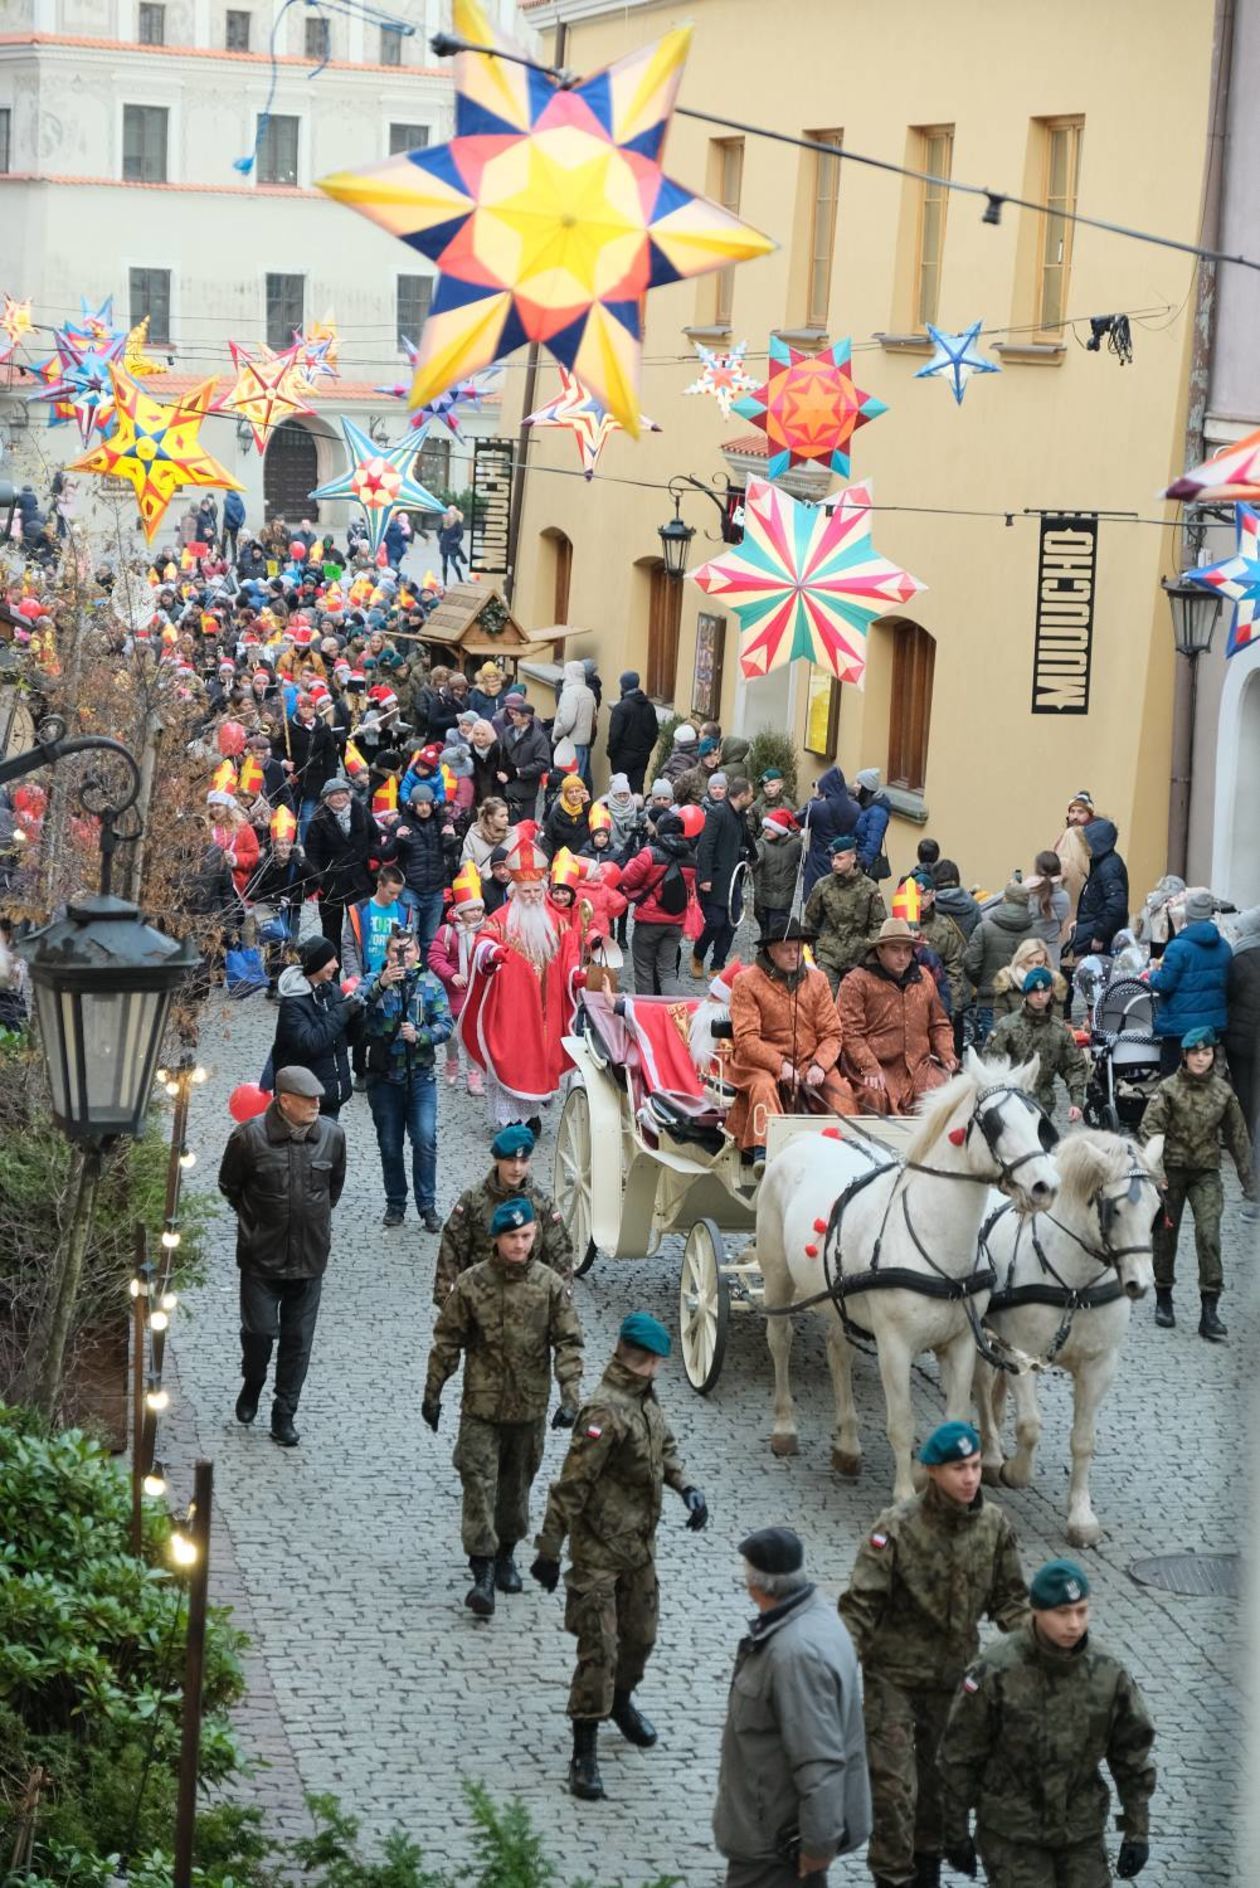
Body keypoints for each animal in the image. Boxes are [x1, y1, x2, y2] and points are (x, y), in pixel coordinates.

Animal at [759, 1049, 1065, 1502]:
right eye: (994, 1122)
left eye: (1038, 1120)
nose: (1046, 1186)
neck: (935, 1239)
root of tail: (805, 1138)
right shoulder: (895, 1345)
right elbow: (901, 1423)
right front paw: (906, 1496)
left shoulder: (960, 1343)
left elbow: (954, 1417)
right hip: (778, 1275)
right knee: (780, 1340)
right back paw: (784, 1427)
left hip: (838, 1294)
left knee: (838, 1350)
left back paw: (847, 1445)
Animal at [974, 1125, 1163, 1540]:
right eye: (1115, 1209)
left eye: (1157, 1210)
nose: (1140, 1284)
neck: (1074, 1286)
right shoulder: (1021, 1354)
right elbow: (1029, 1426)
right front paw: (1015, 1471)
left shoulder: (1099, 1366)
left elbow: (1083, 1441)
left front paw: (1081, 1517)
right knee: (980, 1385)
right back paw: (992, 1455)